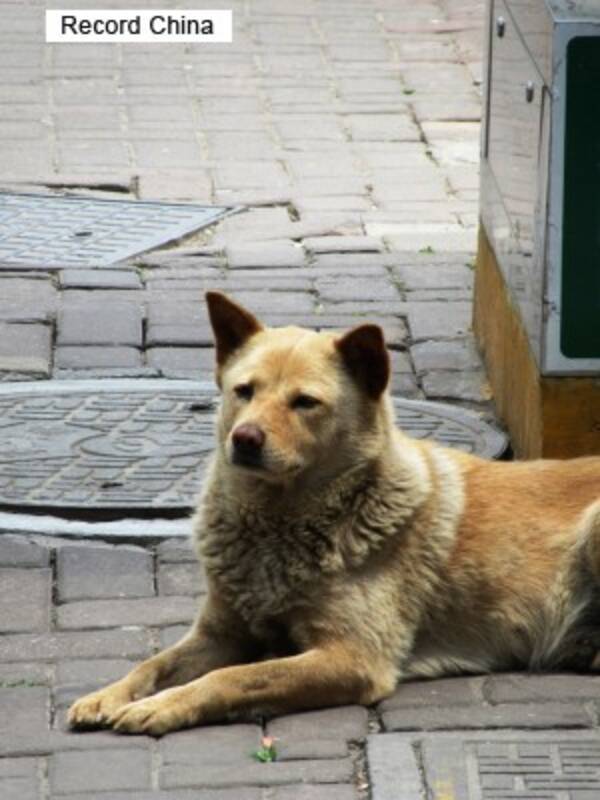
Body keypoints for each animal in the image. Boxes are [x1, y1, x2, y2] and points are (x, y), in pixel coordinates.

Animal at [68, 290, 600, 736]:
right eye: (244, 390)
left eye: (305, 402)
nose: (244, 439)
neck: (277, 527)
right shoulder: (221, 632)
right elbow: (153, 664)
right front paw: (108, 695)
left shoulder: (352, 656)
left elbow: (236, 676)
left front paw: (164, 706)